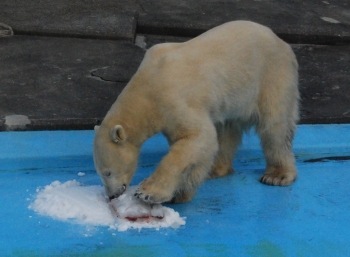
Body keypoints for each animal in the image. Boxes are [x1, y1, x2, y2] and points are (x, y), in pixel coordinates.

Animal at [94, 20, 300, 202]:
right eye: (100, 173)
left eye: (107, 173)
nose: (112, 195)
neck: (147, 85)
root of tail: (282, 42)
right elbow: (195, 145)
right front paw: (182, 190)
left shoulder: (174, 101)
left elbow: (198, 137)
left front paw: (148, 192)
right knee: (226, 129)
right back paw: (216, 168)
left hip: (272, 75)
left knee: (275, 127)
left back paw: (277, 175)